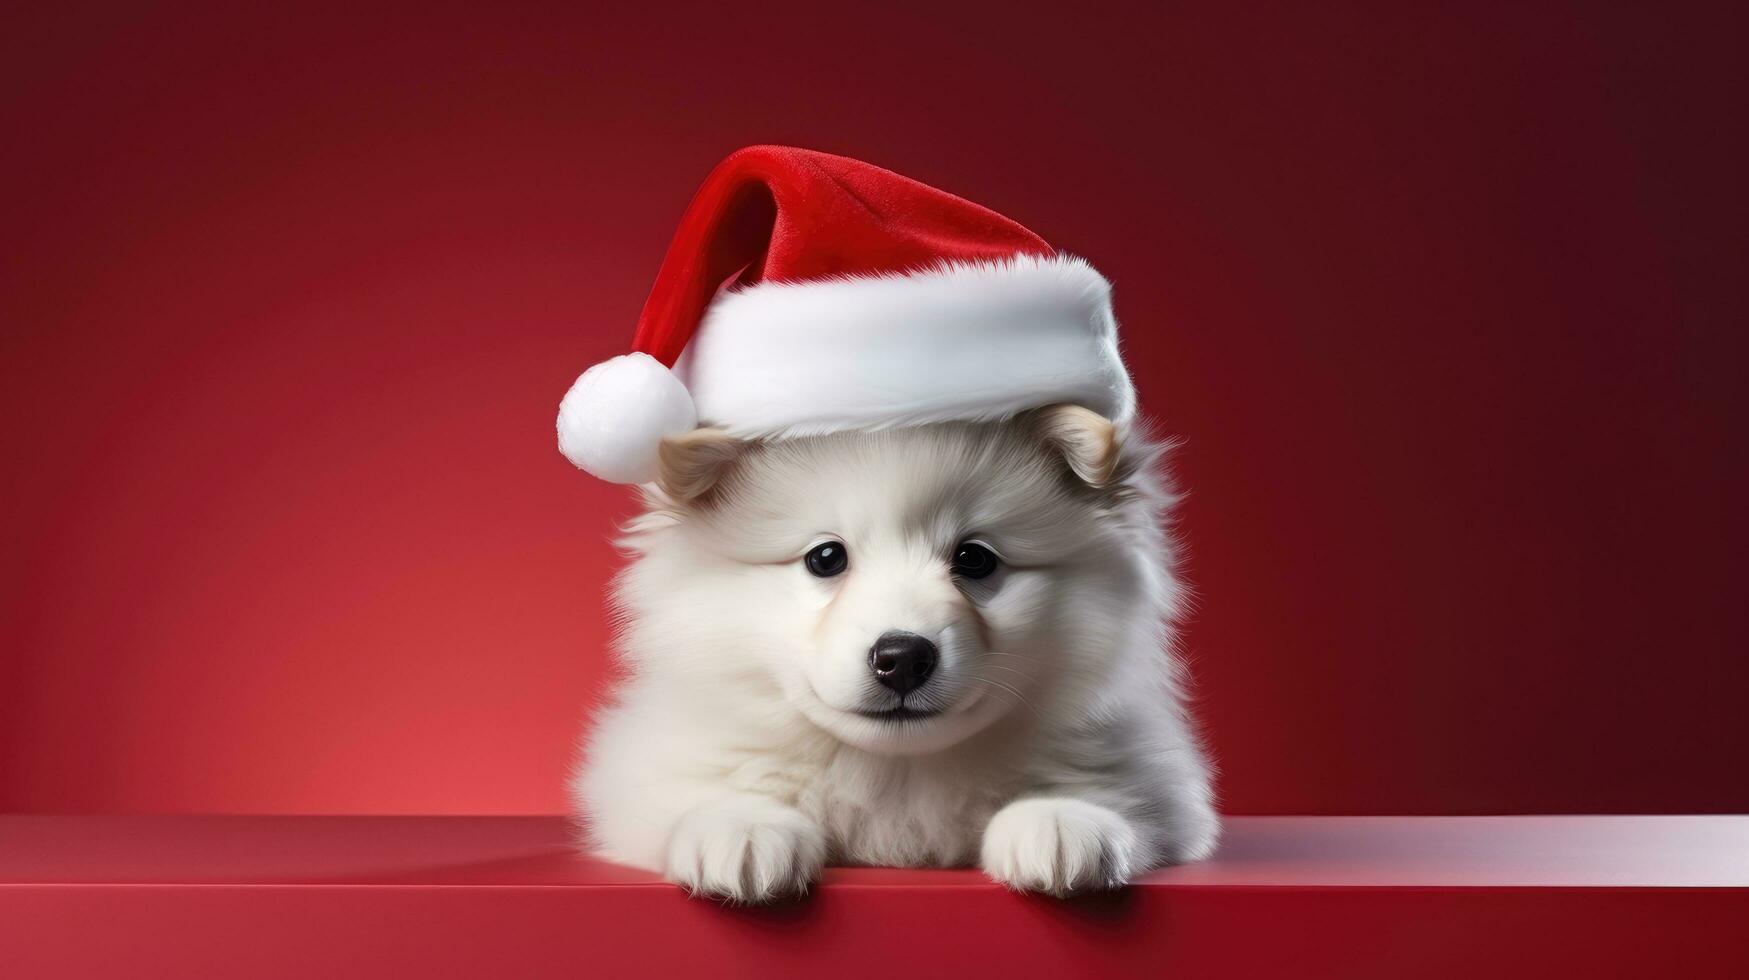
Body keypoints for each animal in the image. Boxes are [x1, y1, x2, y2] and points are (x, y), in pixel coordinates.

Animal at [573, 406, 1217, 903]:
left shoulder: (1159, 784)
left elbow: (1117, 794)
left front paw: (1061, 820)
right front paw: (742, 829)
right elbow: (701, 790)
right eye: (826, 557)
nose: (903, 656)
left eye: (975, 559)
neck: (895, 770)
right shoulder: (642, 775)